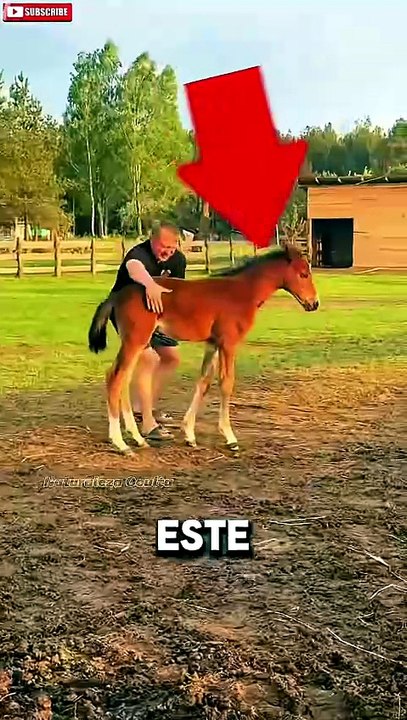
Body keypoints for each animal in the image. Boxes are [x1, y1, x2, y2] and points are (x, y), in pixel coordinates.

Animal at [88, 243, 319, 455]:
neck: (243, 292)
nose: (314, 303)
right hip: (135, 341)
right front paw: (230, 438)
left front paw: (189, 435)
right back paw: (121, 443)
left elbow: (204, 382)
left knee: (124, 380)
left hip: (139, 344)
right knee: (115, 377)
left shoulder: (213, 343)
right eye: (303, 274)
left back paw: (138, 438)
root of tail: (116, 295)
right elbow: (226, 383)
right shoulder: (228, 343)